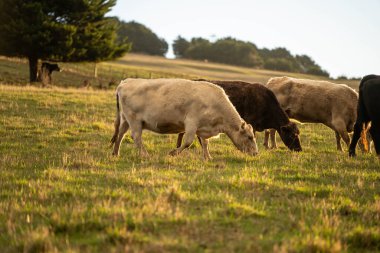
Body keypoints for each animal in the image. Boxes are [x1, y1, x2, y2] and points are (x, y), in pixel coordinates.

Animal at [110, 78, 258, 159]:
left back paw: (116, 153)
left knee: (121, 134)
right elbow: (188, 142)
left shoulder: (203, 127)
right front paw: (173, 153)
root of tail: (126, 81)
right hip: (134, 120)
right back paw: (145, 154)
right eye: (250, 137)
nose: (256, 153)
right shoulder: (192, 122)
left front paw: (207, 157)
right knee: (136, 137)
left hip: (125, 119)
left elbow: (205, 143)